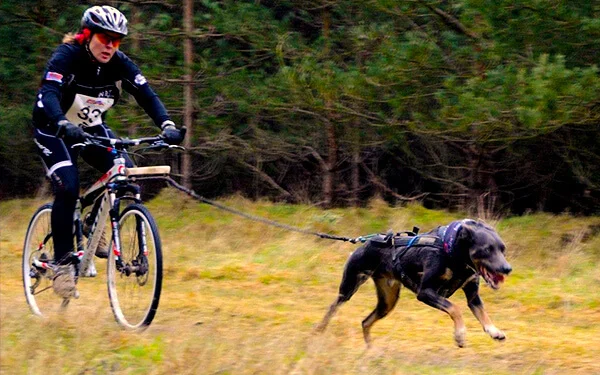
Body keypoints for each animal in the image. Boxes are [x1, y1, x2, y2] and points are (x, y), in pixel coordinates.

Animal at [316, 219, 512, 348]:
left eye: (503, 249)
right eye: (486, 249)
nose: (507, 268)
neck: (451, 252)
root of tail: (365, 242)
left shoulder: (472, 295)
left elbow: (482, 313)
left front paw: (494, 331)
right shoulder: (425, 292)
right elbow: (455, 308)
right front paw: (460, 334)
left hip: (388, 302)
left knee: (365, 322)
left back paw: (370, 349)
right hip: (349, 287)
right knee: (333, 307)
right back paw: (319, 330)